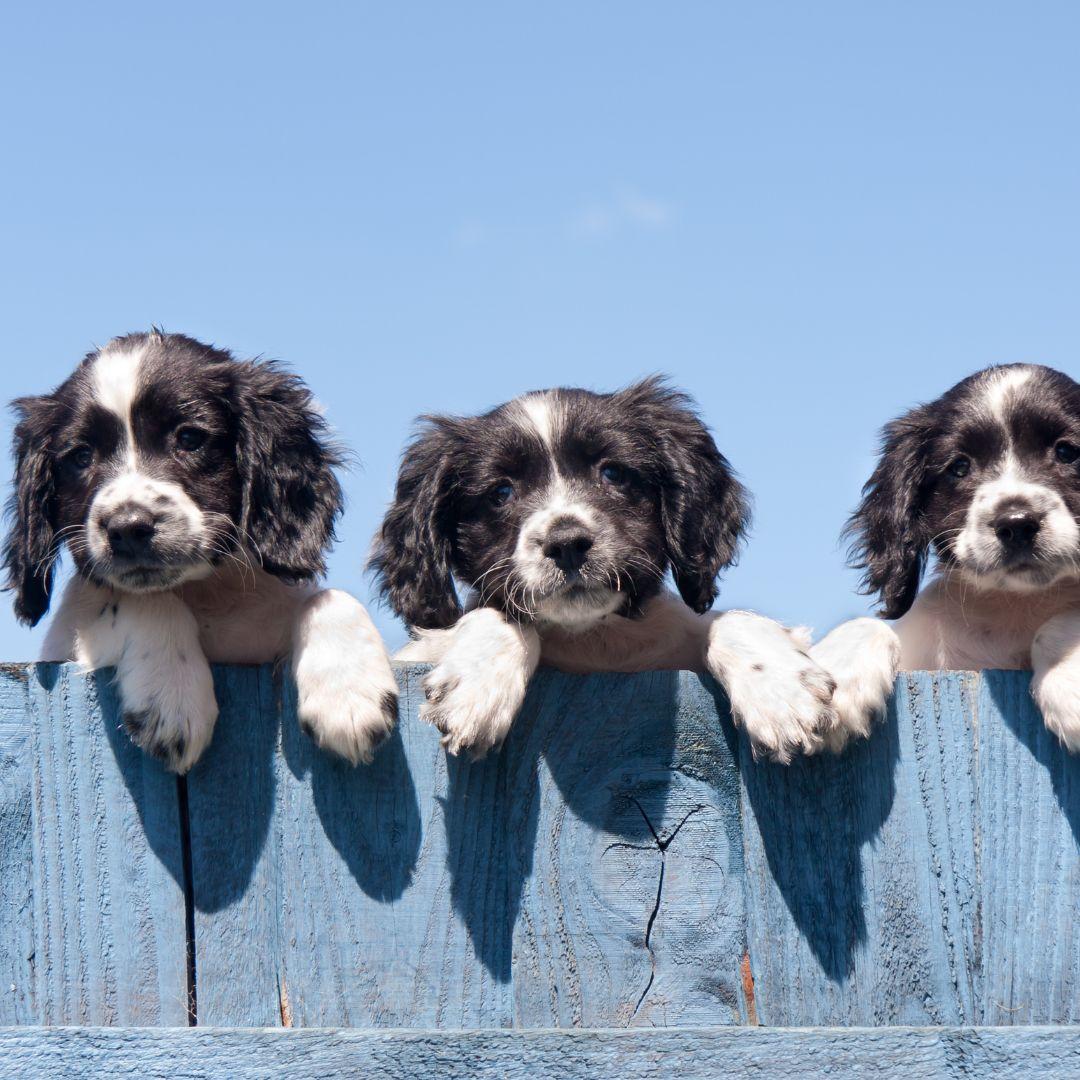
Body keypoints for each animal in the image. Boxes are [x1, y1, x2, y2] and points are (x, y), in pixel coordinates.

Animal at [4, 328, 397, 768]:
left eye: (190, 438)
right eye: (81, 456)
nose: (128, 527)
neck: (208, 594)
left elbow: (328, 597)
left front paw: (349, 697)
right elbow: (143, 599)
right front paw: (172, 695)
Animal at [373, 378, 842, 760]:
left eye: (613, 473)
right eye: (500, 492)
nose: (566, 544)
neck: (593, 640)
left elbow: (723, 620)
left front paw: (780, 688)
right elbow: (495, 615)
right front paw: (477, 683)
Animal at [812, 362, 1080, 751]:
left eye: (1067, 452)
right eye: (959, 467)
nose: (1016, 523)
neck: (1016, 604)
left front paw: (1070, 673)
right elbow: (867, 625)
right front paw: (833, 679)